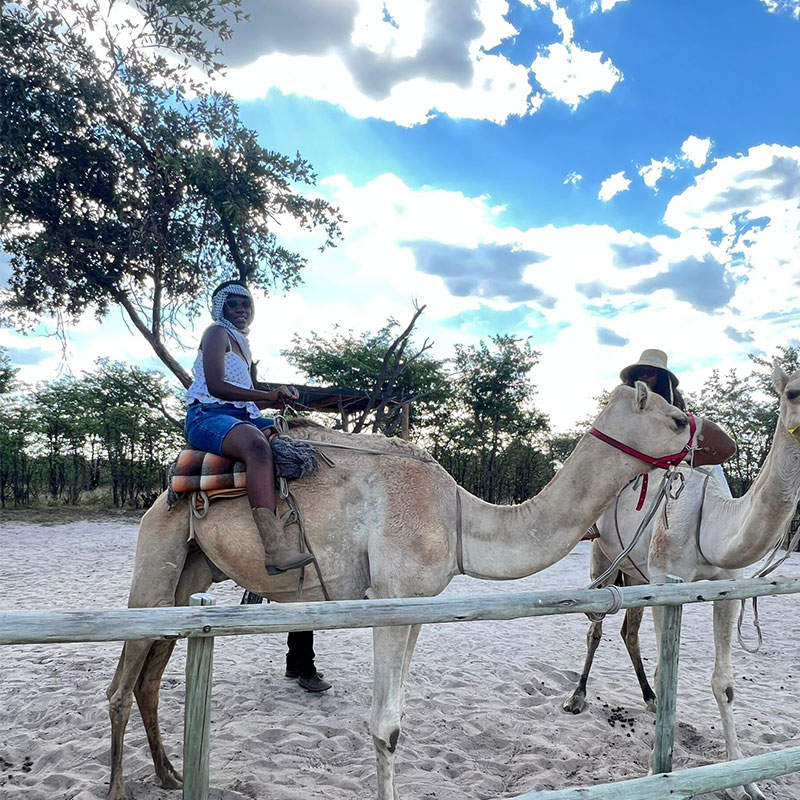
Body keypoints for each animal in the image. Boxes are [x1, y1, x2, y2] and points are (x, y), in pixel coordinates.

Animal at [106, 382, 707, 800]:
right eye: (677, 418)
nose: (711, 441)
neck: (457, 516)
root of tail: (169, 487)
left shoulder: (417, 604)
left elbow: (396, 718)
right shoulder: (390, 601)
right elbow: (384, 726)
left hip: (191, 575)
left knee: (150, 677)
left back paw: (168, 774)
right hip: (156, 559)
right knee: (120, 684)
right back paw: (119, 787)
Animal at [563, 365, 800, 800]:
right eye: (791, 393)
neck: (711, 520)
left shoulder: (728, 588)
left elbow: (725, 683)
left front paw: (744, 781)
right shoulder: (664, 581)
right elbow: (663, 668)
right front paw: (657, 768)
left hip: (635, 572)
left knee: (628, 630)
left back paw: (650, 700)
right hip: (603, 556)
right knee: (597, 626)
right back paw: (577, 696)